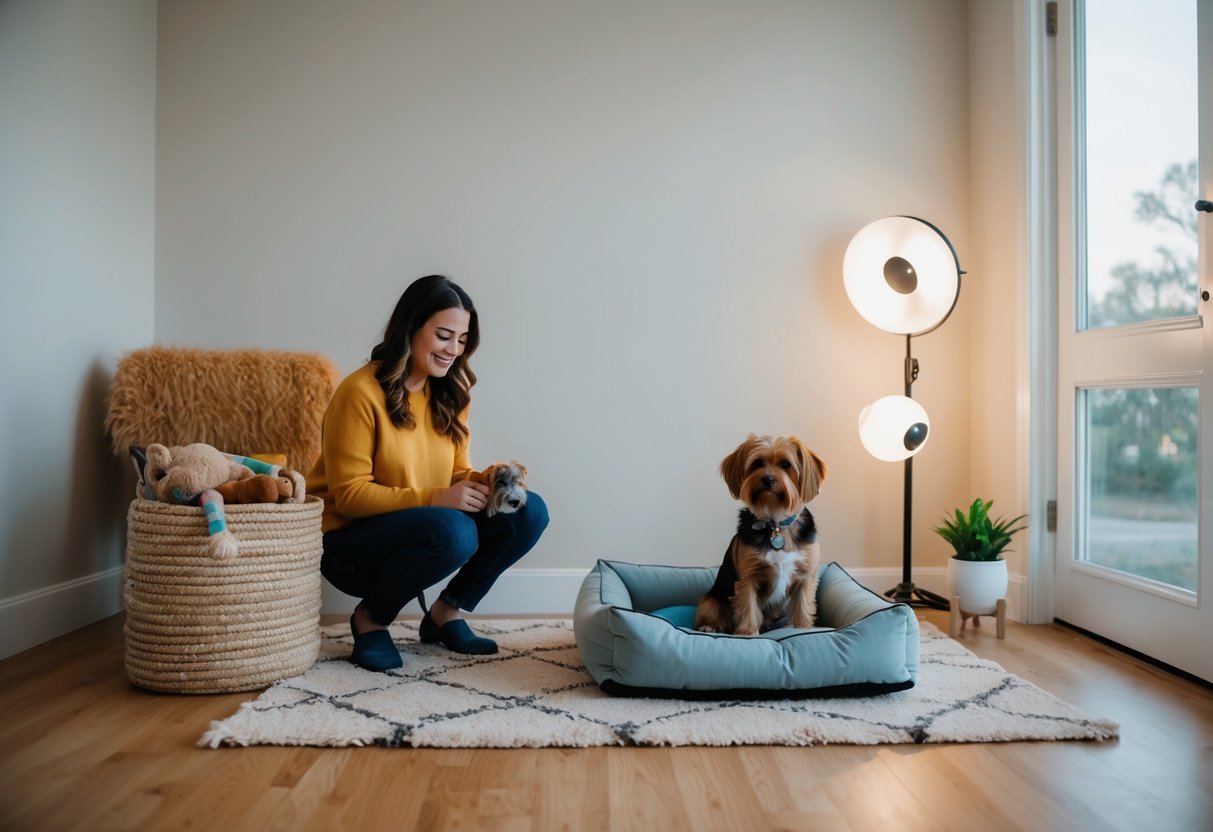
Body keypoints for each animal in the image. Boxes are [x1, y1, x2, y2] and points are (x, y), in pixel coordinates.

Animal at [698, 434, 829, 635]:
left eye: (786, 464)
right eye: (758, 462)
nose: (768, 480)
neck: (776, 524)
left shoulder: (806, 577)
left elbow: (803, 605)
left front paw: (803, 628)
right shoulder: (748, 577)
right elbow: (748, 605)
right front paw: (747, 633)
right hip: (709, 601)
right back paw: (708, 626)